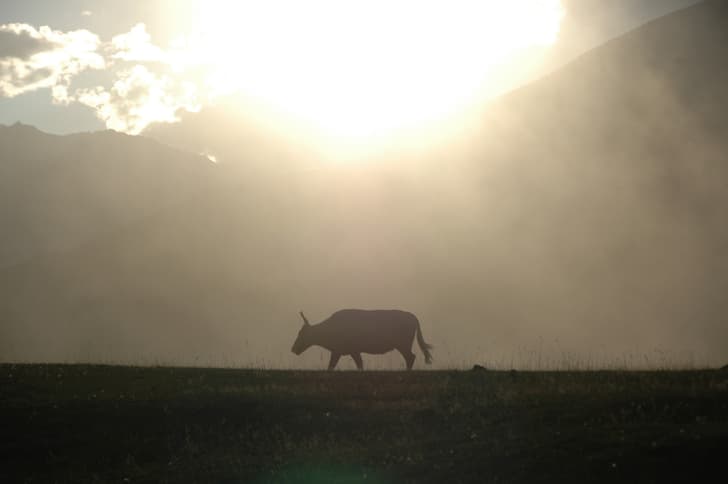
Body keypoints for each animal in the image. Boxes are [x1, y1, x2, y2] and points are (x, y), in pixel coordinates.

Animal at [291, 309, 433, 370]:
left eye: (301, 333)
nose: (293, 349)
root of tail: (414, 318)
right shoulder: (348, 351)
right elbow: (358, 364)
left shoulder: (344, 350)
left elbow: (332, 366)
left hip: (403, 345)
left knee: (411, 357)